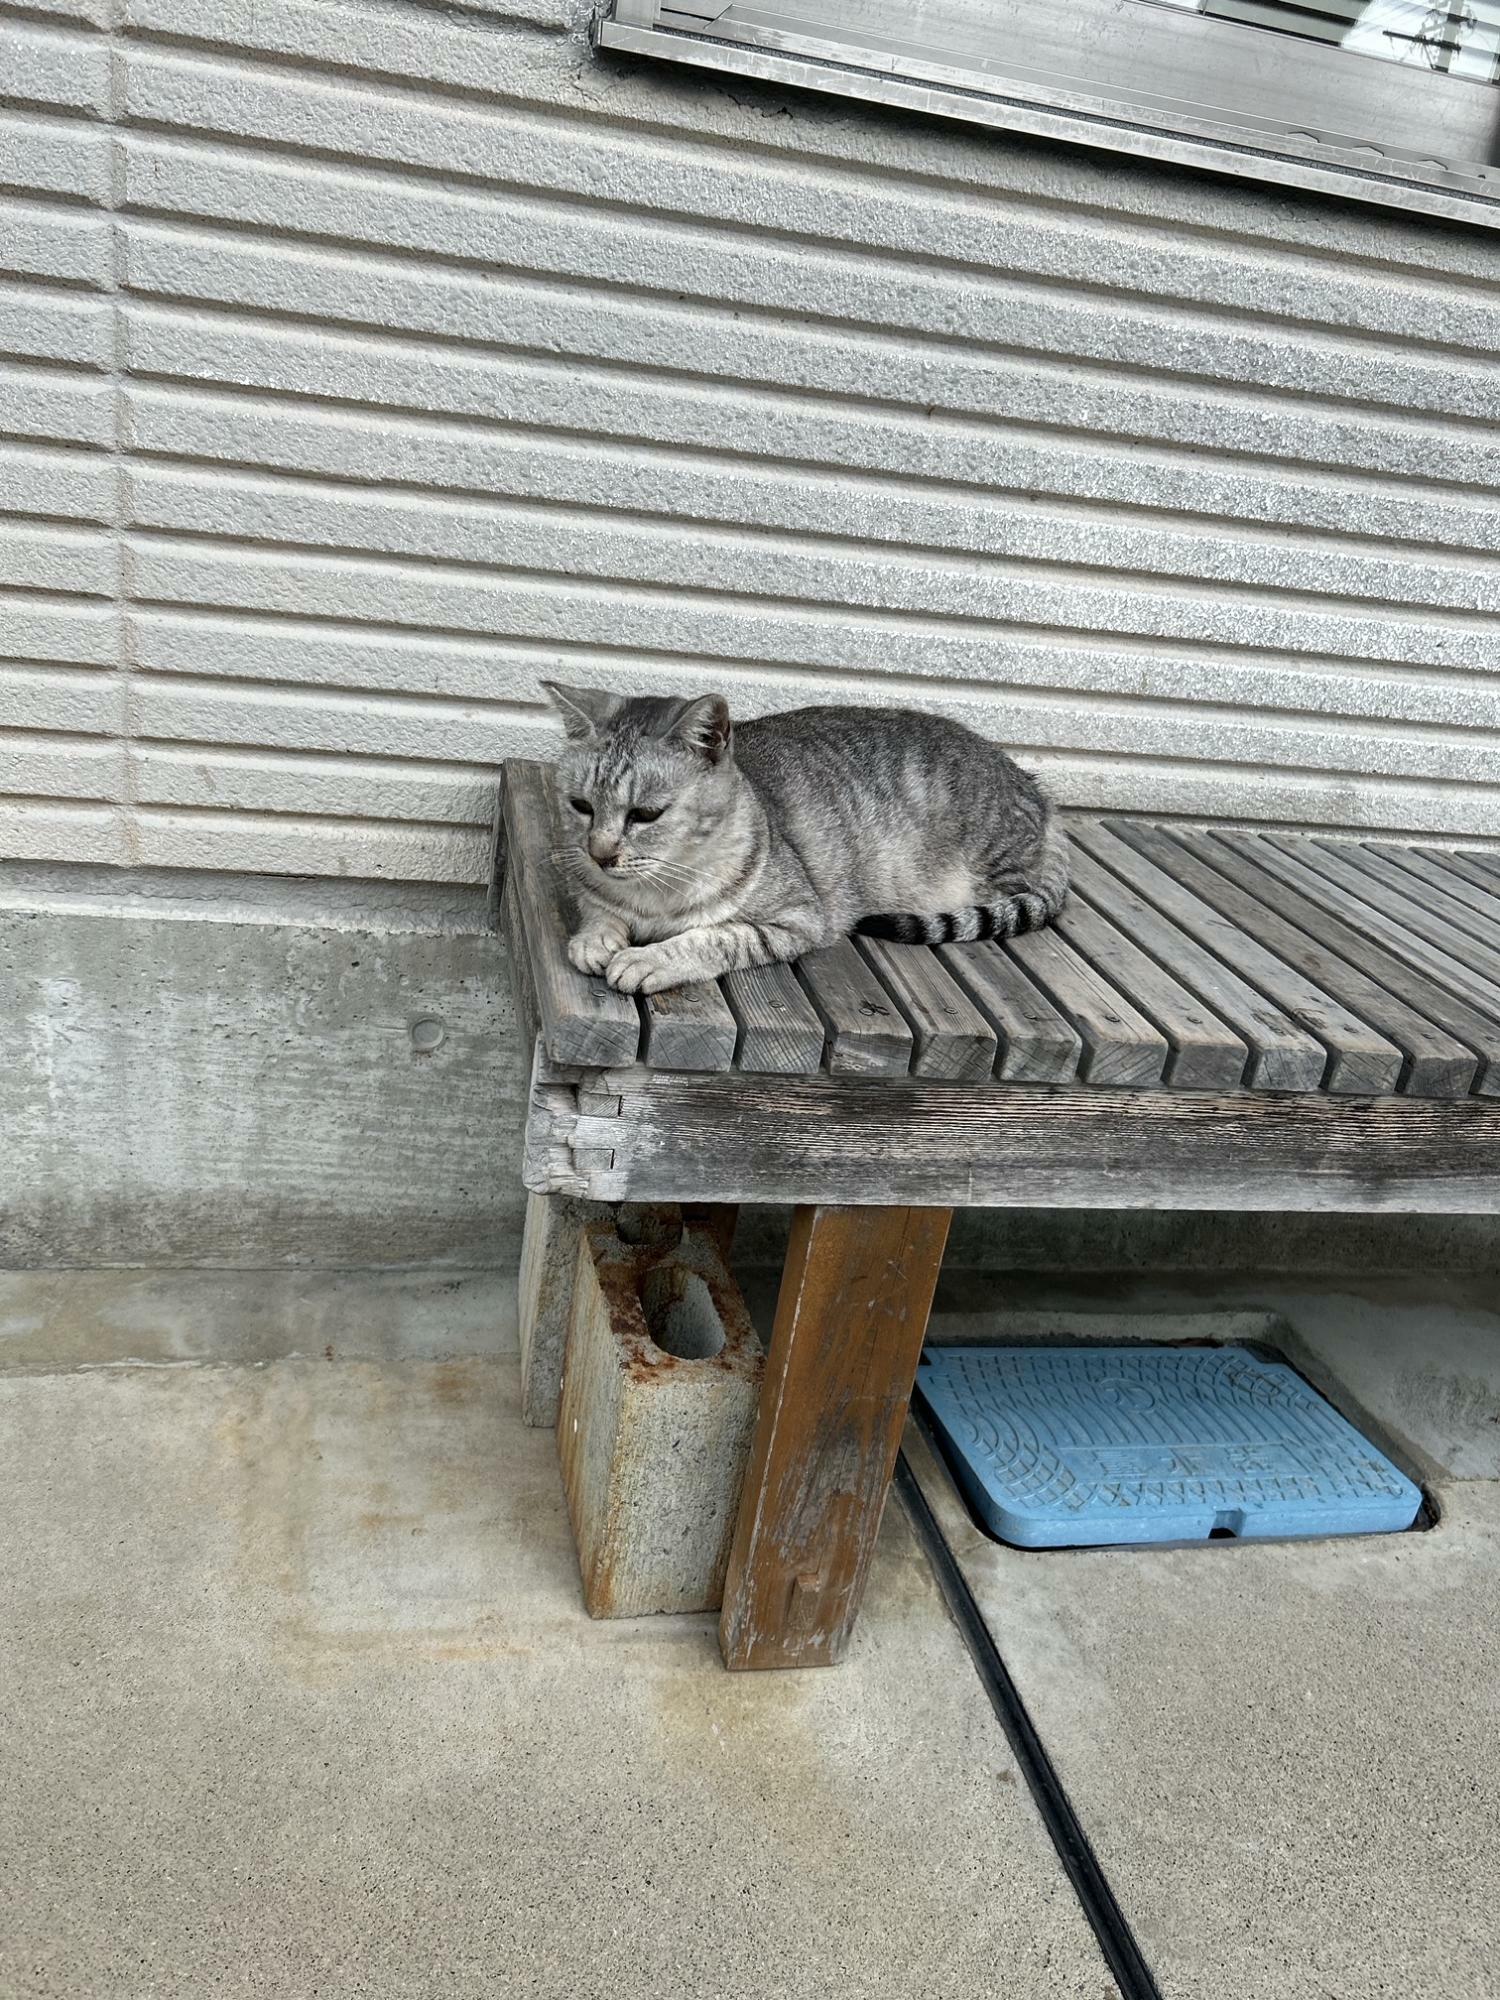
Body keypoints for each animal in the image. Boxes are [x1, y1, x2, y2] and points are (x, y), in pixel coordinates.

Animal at [540, 688, 1072, 1000]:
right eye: (581, 806)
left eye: (646, 815)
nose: (600, 853)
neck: (655, 894)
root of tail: (1039, 793)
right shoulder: (592, 881)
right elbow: (596, 908)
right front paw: (596, 937)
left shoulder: (800, 919)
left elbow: (716, 936)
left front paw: (649, 958)